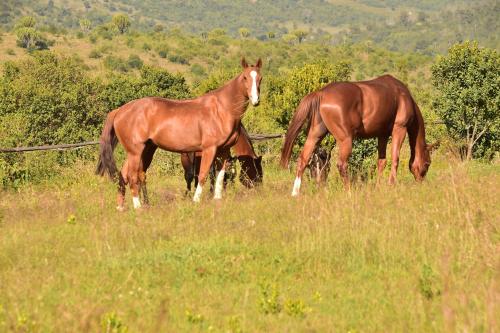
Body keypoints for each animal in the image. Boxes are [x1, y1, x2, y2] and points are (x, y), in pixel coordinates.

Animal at [95, 57, 264, 208]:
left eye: (260, 78)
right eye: (245, 77)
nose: (256, 101)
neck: (222, 109)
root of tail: (119, 111)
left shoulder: (223, 150)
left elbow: (220, 176)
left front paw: (217, 199)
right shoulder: (209, 149)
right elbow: (202, 175)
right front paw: (196, 201)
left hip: (142, 150)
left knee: (124, 175)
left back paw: (121, 207)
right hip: (135, 151)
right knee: (132, 176)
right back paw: (138, 207)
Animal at [284, 74, 432, 195]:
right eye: (428, 163)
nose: (421, 183)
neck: (401, 95)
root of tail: (321, 93)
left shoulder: (382, 135)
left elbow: (382, 162)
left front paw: (378, 187)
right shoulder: (399, 129)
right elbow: (395, 159)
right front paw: (391, 184)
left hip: (315, 135)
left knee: (303, 159)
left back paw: (295, 193)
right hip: (345, 140)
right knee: (342, 165)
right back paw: (349, 191)